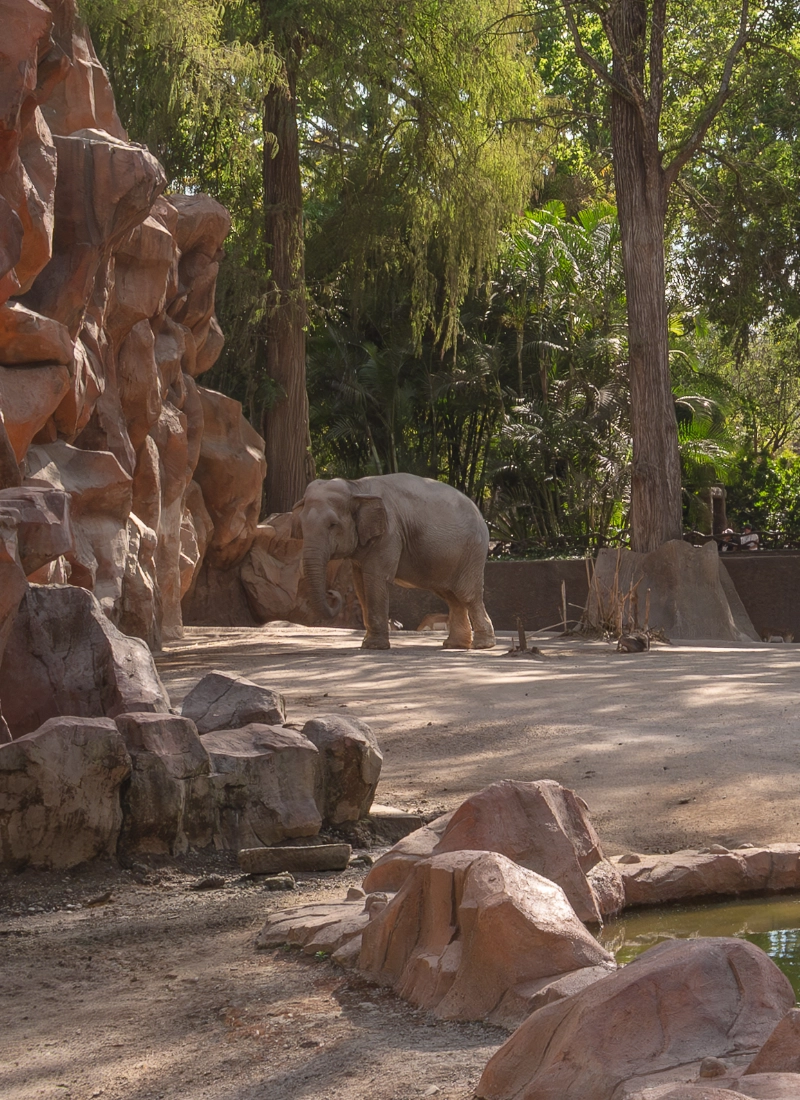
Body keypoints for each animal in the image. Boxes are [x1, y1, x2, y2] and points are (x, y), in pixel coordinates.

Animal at [291, 473, 496, 651]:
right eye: (301, 525)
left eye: (333, 525)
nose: (331, 592)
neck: (355, 486)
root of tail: (481, 516)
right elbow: (360, 585)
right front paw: (368, 644)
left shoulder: (389, 534)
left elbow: (375, 580)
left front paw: (374, 647)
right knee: (451, 596)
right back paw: (454, 645)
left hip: (471, 552)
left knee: (467, 595)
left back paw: (482, 645)